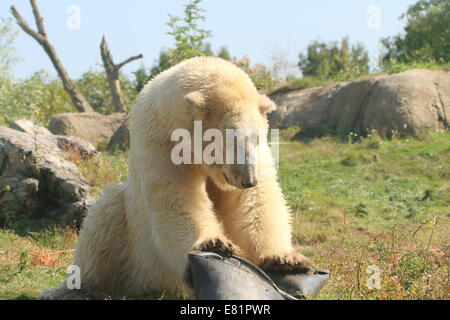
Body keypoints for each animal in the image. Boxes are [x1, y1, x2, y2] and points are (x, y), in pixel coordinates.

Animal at [41, 56, 312, 298]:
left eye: (256, 138)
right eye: (230, 141)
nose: (248, 180)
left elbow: (255, 201)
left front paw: (285, 260)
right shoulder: (161, 143)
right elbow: (177, 200)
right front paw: (213, 244)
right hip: (134, 245)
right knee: (103, 220)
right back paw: (70, 290)